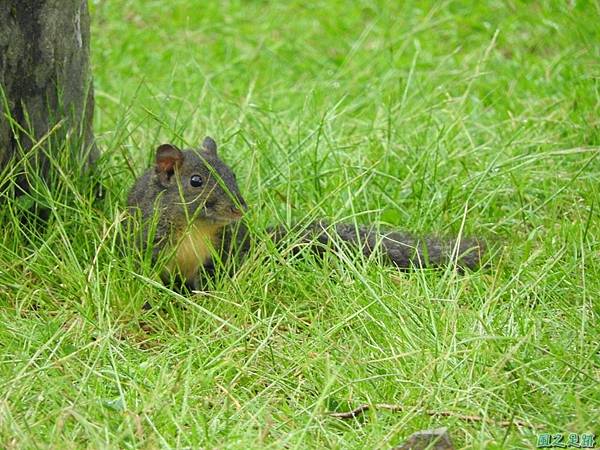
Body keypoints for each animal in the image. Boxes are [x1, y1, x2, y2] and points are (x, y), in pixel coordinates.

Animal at [127, 137, 488, 290]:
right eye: (195, 182)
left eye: (232, 173)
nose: (239, 208)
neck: (196, 226)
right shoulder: (150, 241)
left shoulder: (221, 249)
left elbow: (208, 277)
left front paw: (203, 293)